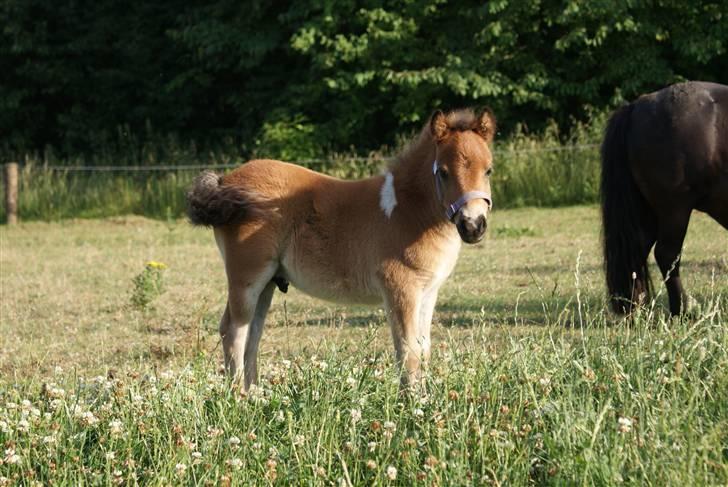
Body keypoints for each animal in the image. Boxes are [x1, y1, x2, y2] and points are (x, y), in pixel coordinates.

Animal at [187, 108, 496, 389]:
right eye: (443, 172)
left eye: (489, 169)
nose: (473, 225)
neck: (407, 211)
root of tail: (225, 183)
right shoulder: (400, 288)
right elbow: (407, 351)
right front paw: (411, 403)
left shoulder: (428, 291)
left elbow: (423, 348)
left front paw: (424, 399)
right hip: (247, 276)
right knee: (233, 330)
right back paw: (236, 398)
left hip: (269, 282)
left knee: (253, 333)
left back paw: (254, 395)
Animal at [601, 81, 728, 316]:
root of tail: (637, 105)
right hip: (674, 209)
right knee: (667, 254)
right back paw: (682, 309)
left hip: (649, 213)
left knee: (637, 251)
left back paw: (636, 308)